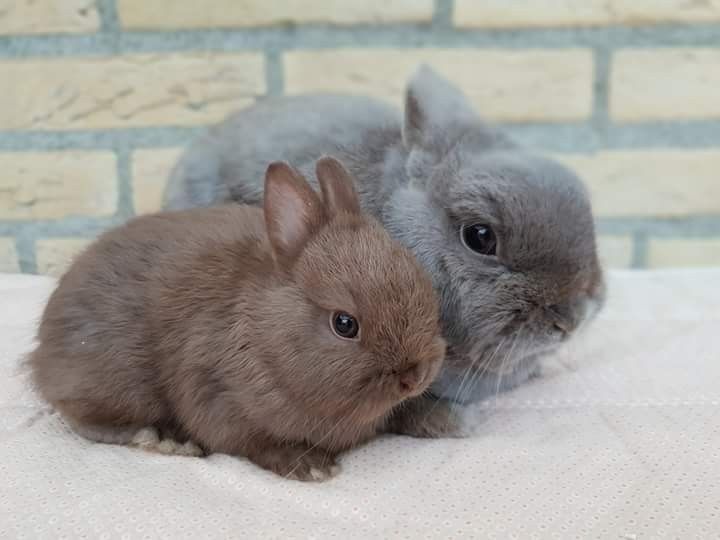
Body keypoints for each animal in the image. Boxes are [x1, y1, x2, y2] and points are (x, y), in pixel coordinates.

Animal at [27, 157, 447, 481]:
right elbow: (251, 443)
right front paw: (310, 466)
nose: (415, 376)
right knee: (85, 420)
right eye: (344, 323)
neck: (266, 335)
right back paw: (163, 440)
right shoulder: (217, 396)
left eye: (421, 280)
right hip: (115, 381)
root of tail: (40, 353)